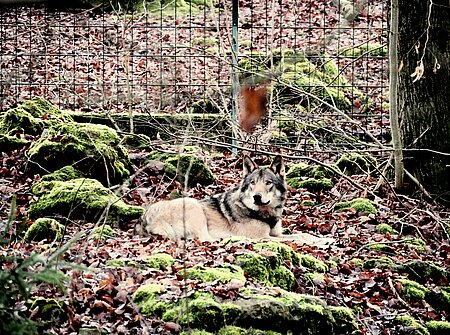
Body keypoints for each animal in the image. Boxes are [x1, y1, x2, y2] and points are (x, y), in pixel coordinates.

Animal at [138, 156, 334, 245]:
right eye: (253, 183)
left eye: (268, 183)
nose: (257, 197)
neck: (264, 214)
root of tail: (144, 220)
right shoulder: (265, 238)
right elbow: (295, 239)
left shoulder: (276, 234)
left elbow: (303, 235)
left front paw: (324, 240)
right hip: (193, 205)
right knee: (206, 239)